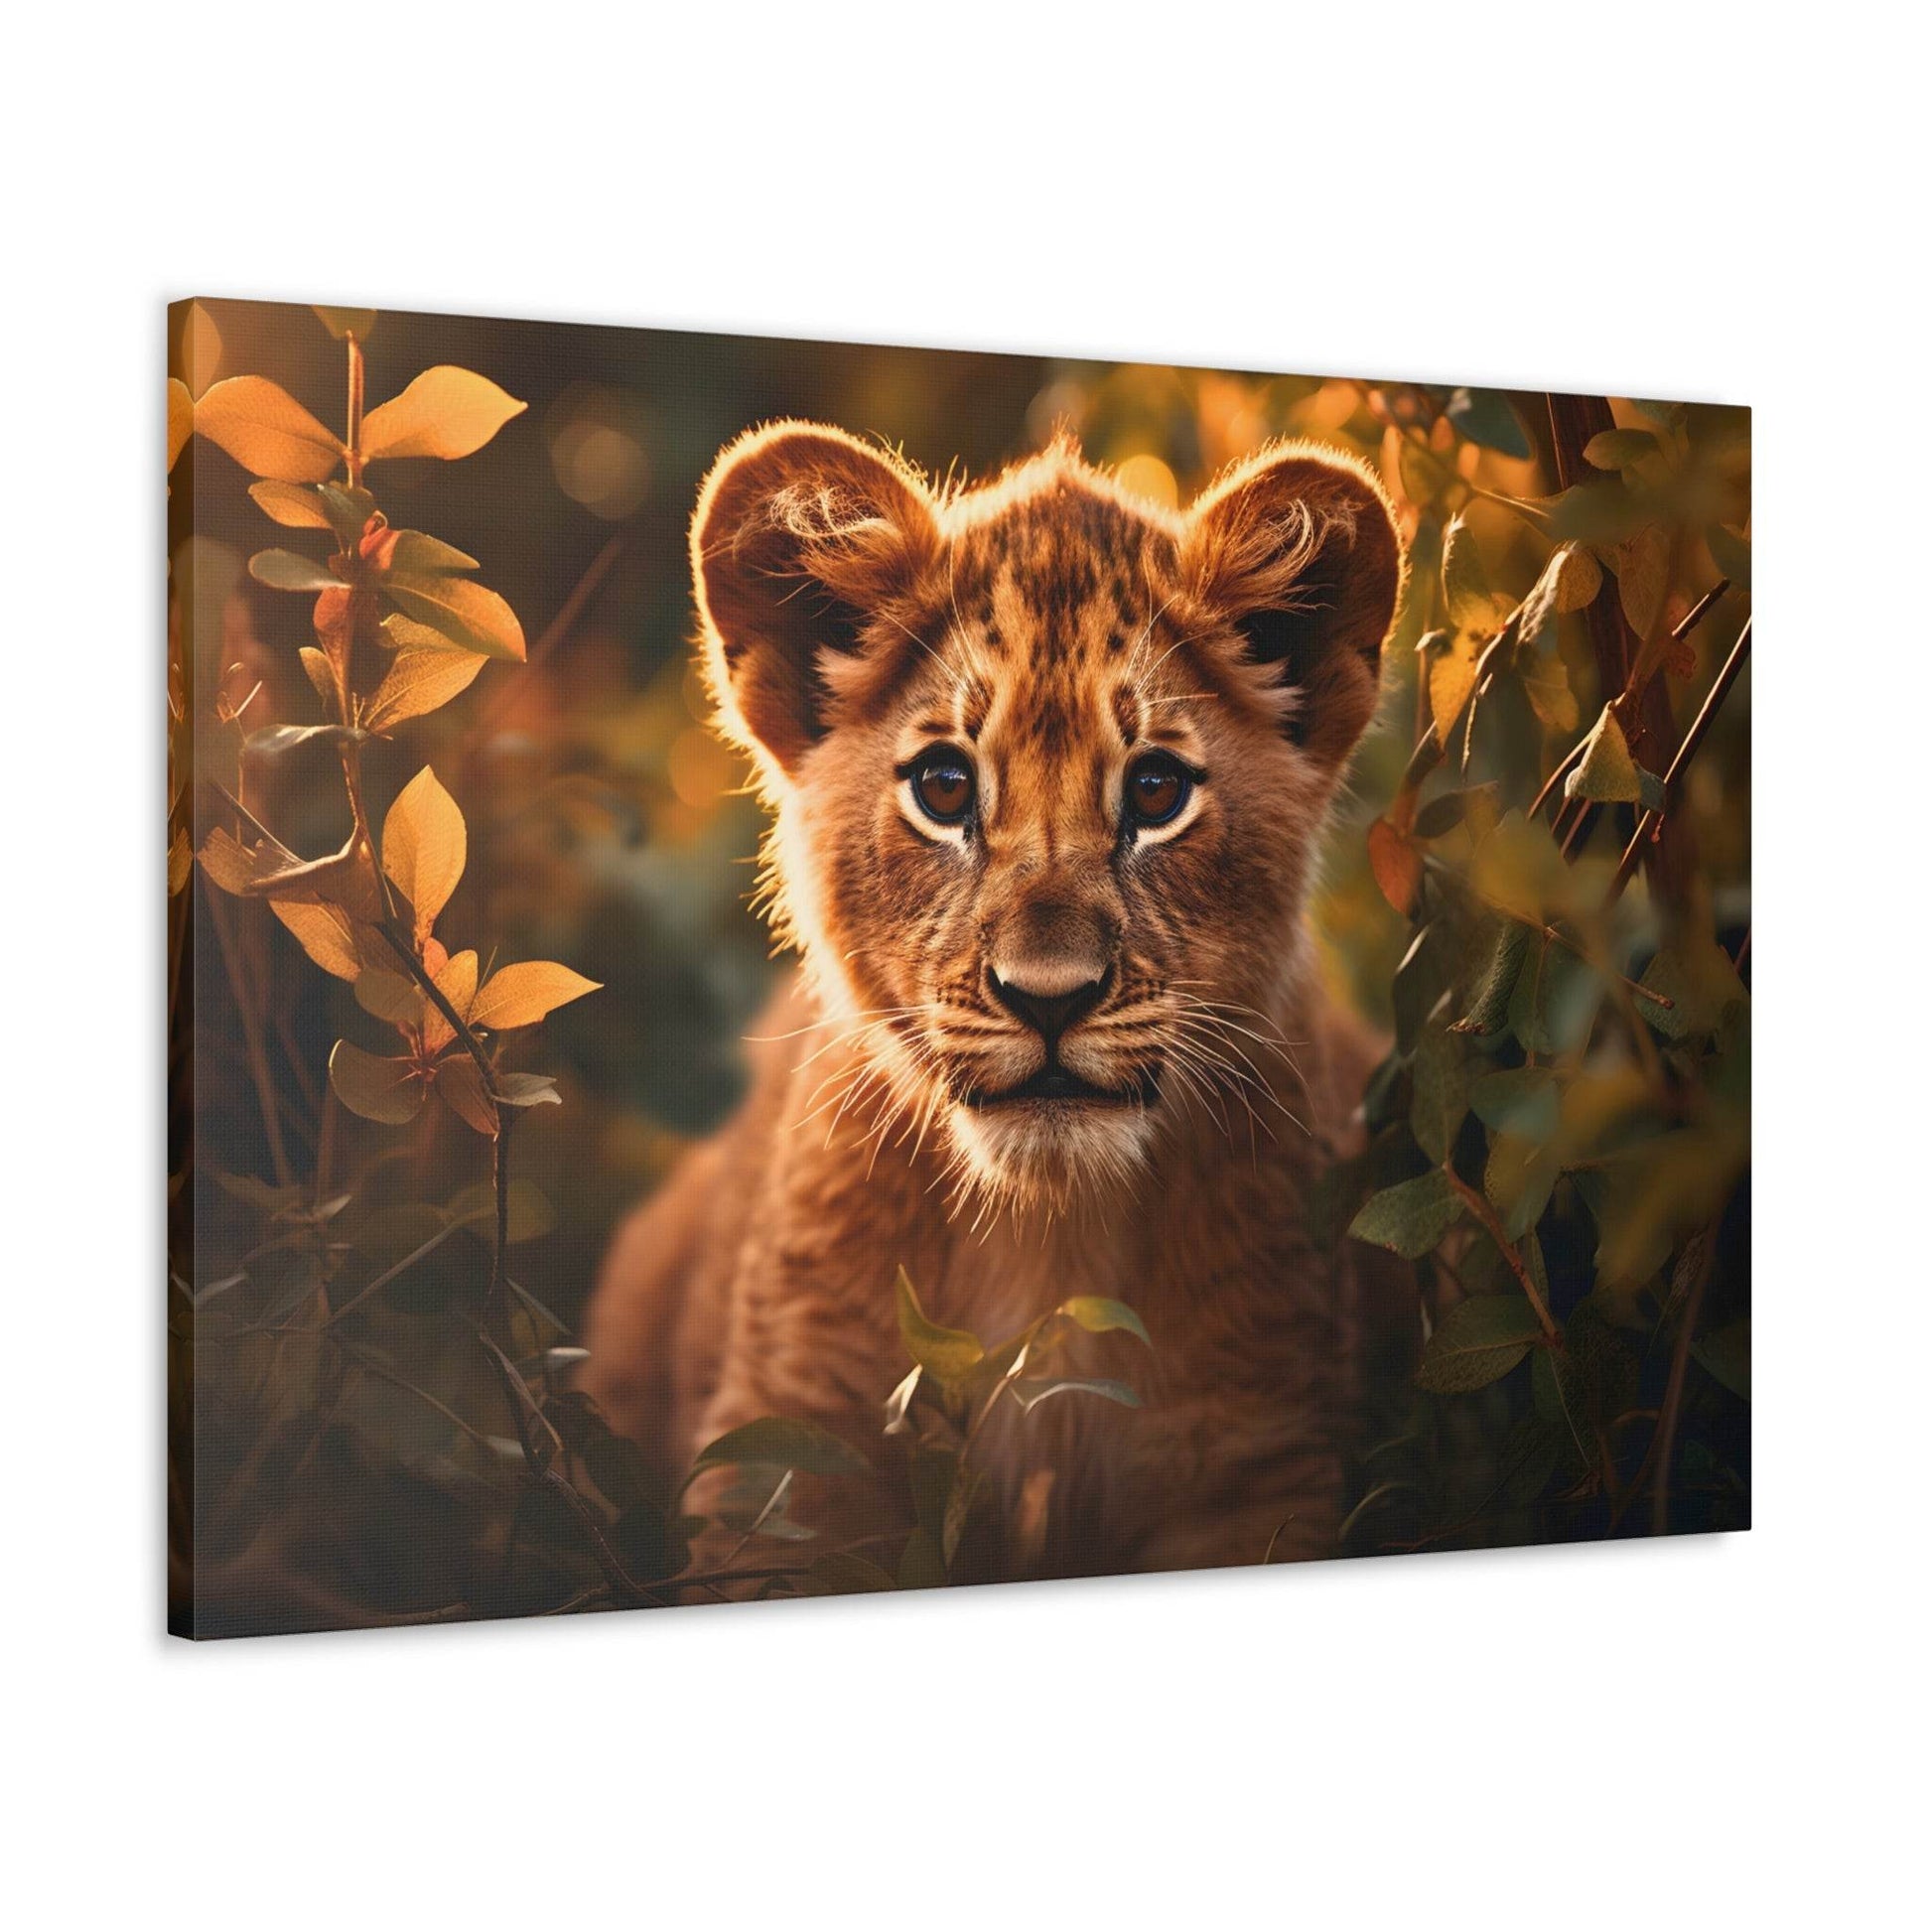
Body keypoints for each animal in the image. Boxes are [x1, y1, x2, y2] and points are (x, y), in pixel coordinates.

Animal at [580, 419, 1407, 1581]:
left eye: (1155, 791)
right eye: (944, 787)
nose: (1048, 999)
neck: (1047, 1237)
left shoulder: (1256, 1462)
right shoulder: (787, 1456)